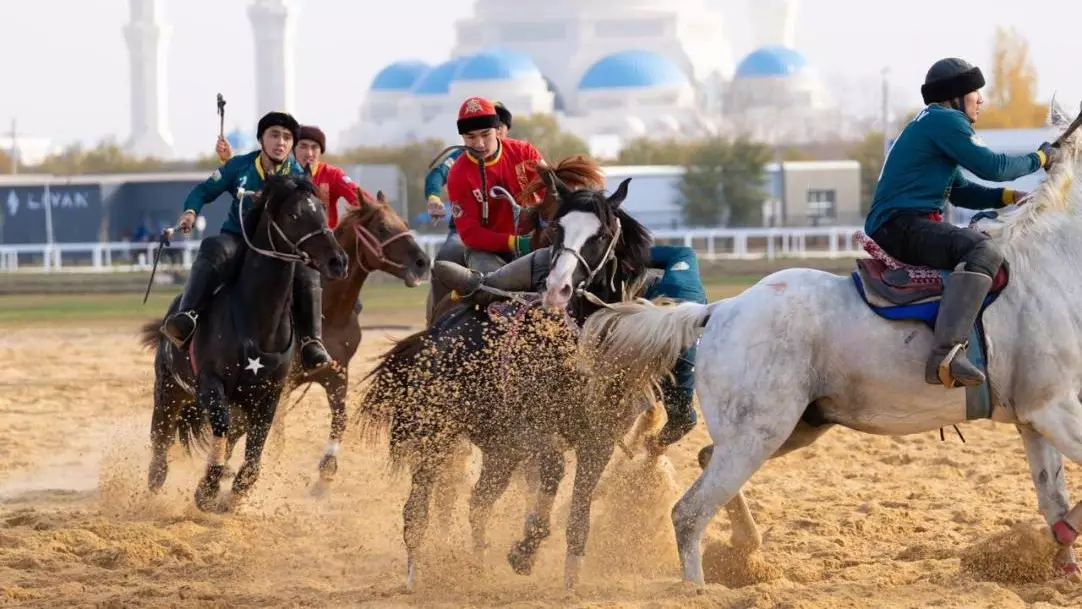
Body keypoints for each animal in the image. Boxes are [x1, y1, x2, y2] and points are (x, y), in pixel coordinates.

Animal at [137, 174, 344, 512]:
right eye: (293, 215)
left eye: (323, 210)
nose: (337, 261)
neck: (256, 324)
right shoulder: (210, 384)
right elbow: (219, 426)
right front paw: (207, 489)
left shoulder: (269, 395)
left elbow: (256, 447)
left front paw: (233, 491)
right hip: (168, 391)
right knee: (161, 440)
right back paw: (155, 482)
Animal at [354, 166, 649, 592]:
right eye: (557, 228)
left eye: (601, 235)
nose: (557, 289)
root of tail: (433, 336)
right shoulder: (531, 432)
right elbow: (553, 471)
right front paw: (524, 551)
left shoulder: (600, 440)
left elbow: (579, 513)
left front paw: (569, 580)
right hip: (437, 438)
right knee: (417, 511)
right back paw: (413, 577)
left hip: (498, 452)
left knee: (479, 502)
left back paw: (477, 567)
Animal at [579, 101, 1082, 584]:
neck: (1048, 265)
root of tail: (720, 311)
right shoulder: (1053, 409)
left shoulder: (1034, 420)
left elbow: (1054, 499)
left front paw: (1054, 560)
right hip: (757, 435)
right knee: (689, 513)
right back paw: (697, 589)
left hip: (793, 428)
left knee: (706, 463)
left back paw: (745, 551)